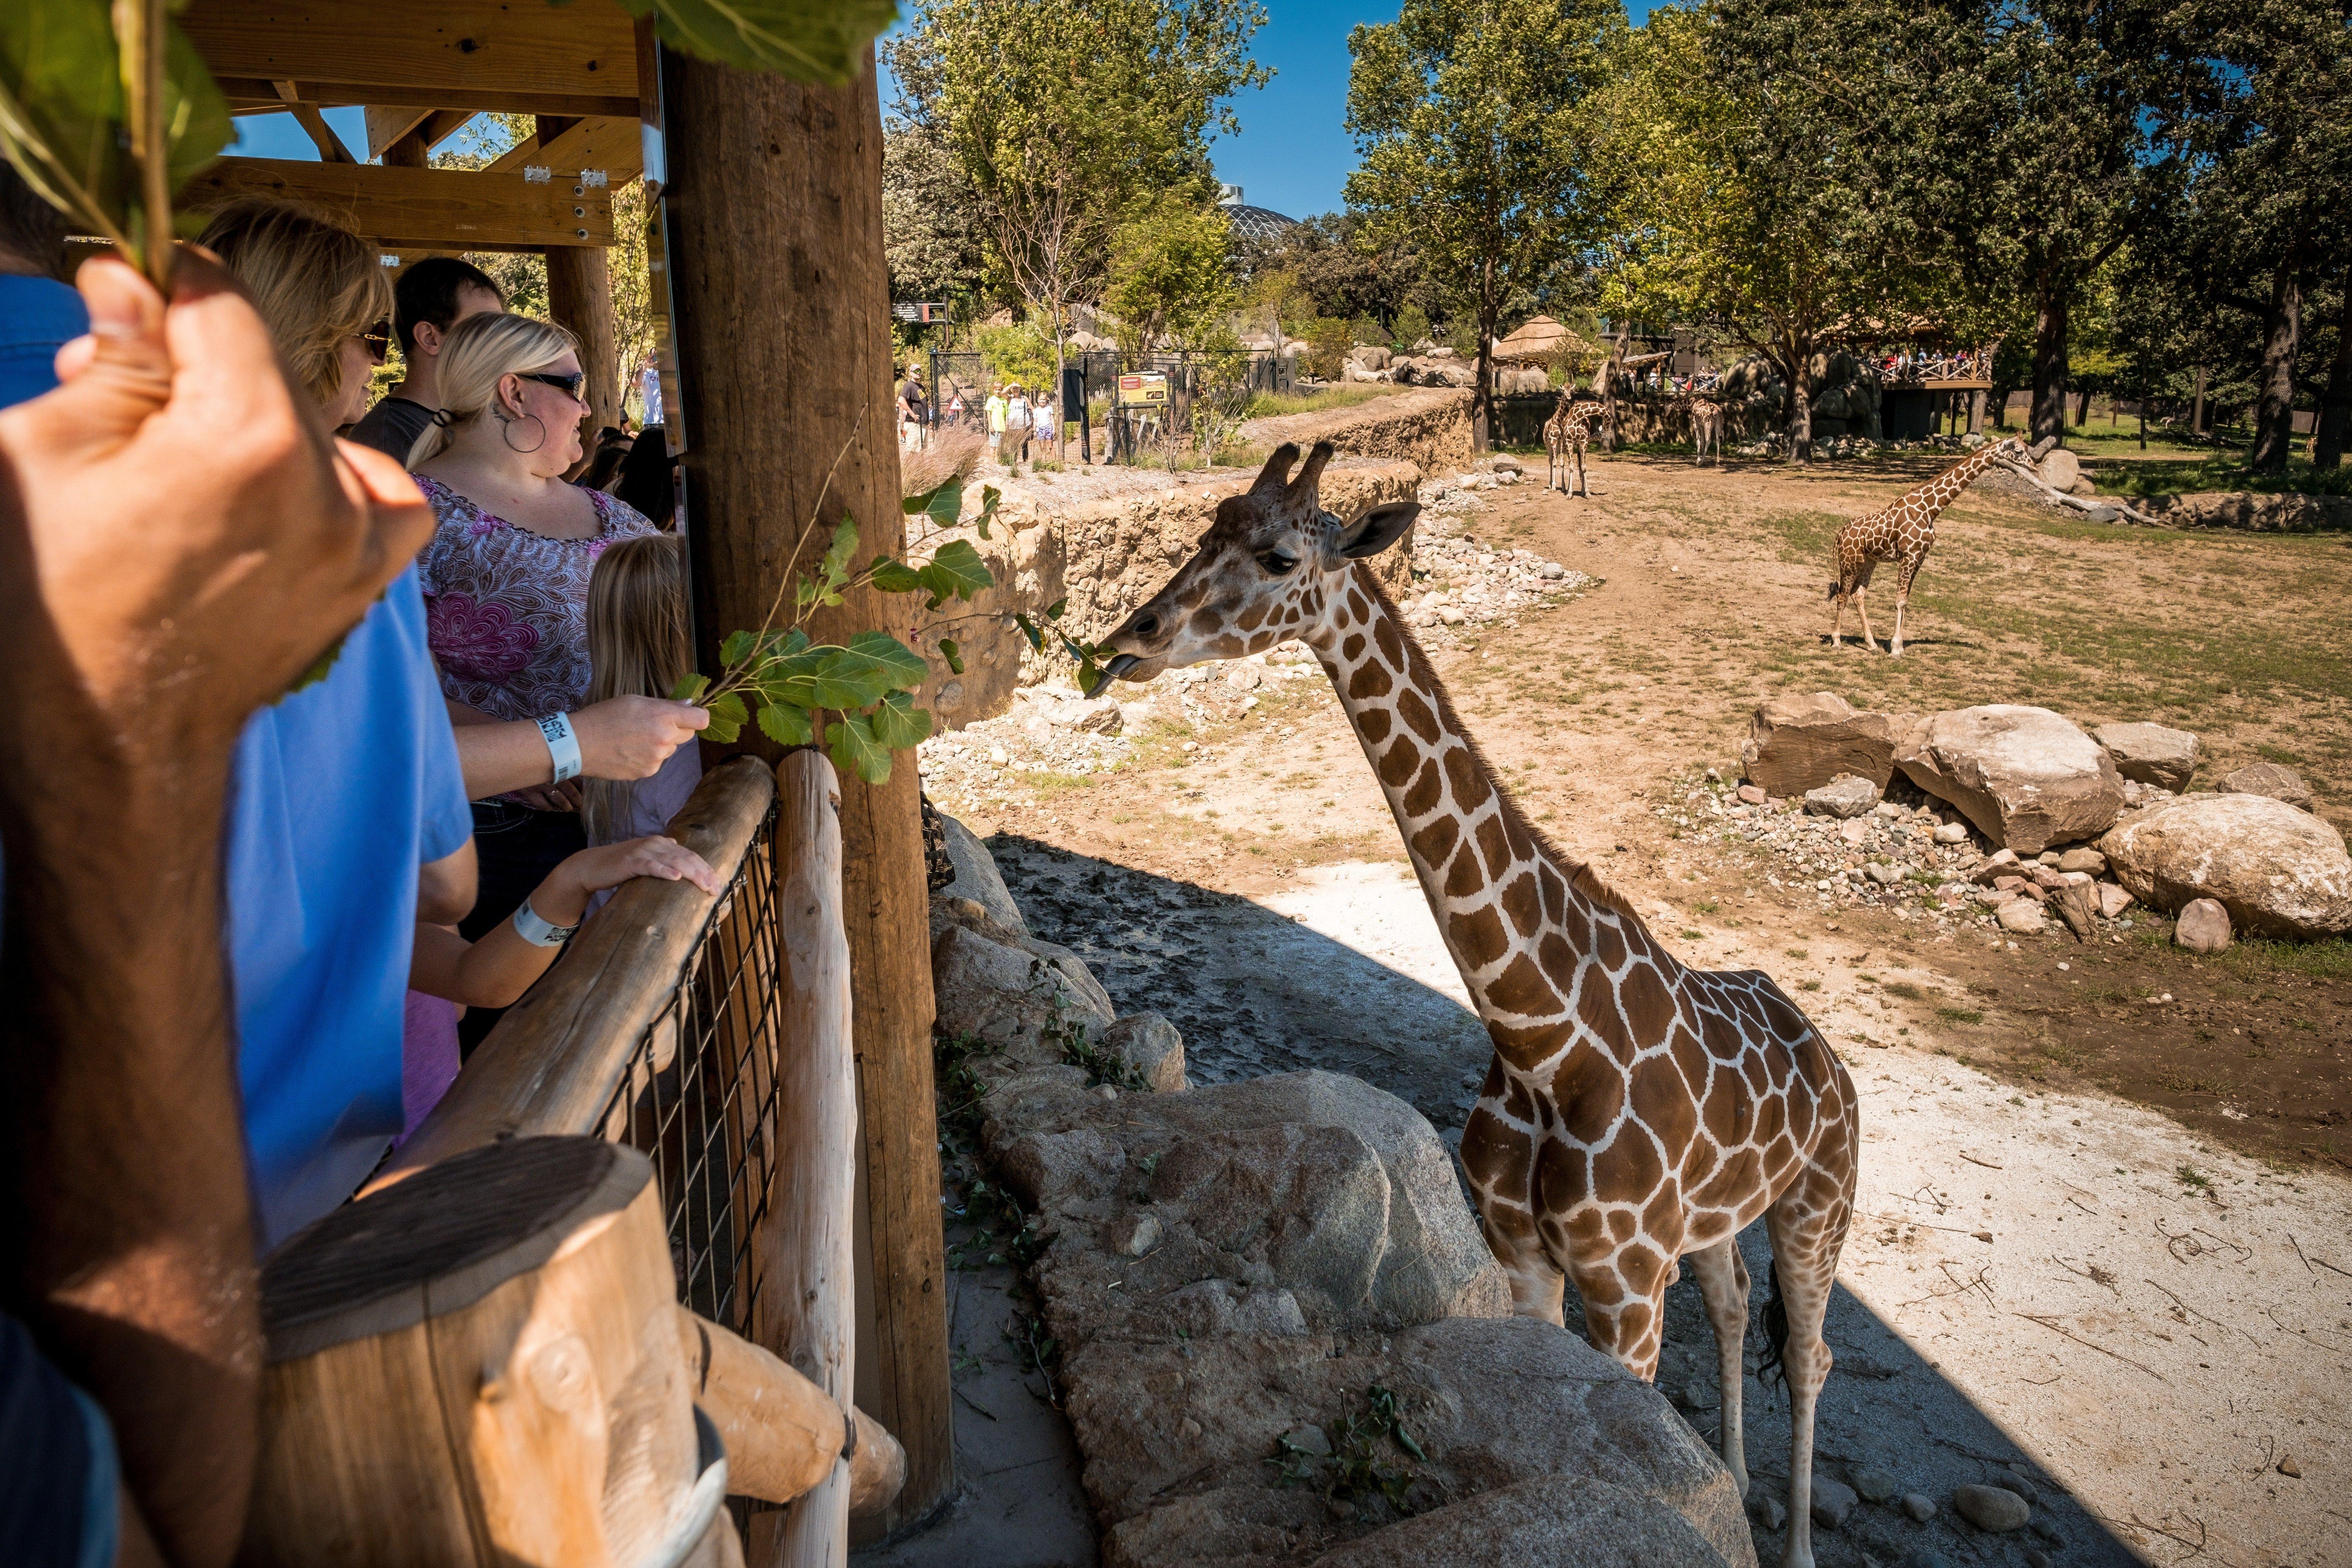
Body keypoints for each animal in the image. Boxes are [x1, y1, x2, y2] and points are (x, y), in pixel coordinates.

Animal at [1825, 435, 2051, 658]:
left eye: (2027, 449)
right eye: (2019, 451)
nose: (2034, 468)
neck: (1929, 509)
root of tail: (1839, 535)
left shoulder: (1919, 557)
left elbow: (1906, 600)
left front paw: (1899, 647)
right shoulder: (1909, 556)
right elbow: (1899, 601)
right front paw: (1895, 649)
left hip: (1869, 561)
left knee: (1858, 594)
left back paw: (1871, 645)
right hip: (1850, 561)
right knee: (1843, 595)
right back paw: (1836, 641)